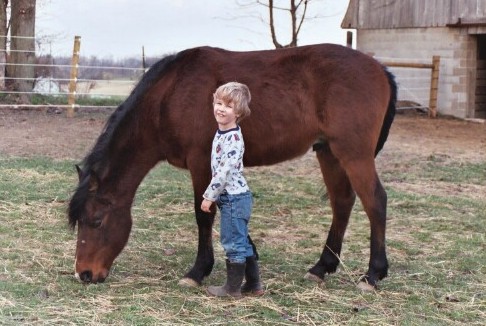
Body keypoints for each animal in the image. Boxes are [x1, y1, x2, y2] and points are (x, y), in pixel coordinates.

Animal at [67, 42, 394, 288]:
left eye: (97, 221)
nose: (84, 273)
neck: (169, 96)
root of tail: (380, 68)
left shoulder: (202, 162)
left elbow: (204, 215)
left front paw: (198, 271)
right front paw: (248, 260)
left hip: (353, 154)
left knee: (375, 201)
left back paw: (373, 274)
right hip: (328, 152)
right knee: (343, 202)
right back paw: (321, 267)